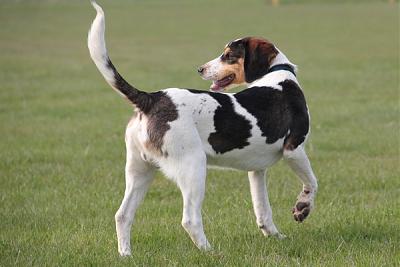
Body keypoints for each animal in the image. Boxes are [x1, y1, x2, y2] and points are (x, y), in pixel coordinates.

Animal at [88, 0, 318, 258]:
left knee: (123, 215)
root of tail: (152, 98)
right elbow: (312, 183)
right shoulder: (294, 149)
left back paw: (126, 254)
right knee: (190, 219)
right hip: (194, 168)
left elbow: (263, 211)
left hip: (140, 171)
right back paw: (211, 252)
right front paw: (302, 209)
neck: (277, 75)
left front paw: (276, 237)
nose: (200, 69)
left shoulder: (256, 170)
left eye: (228, 56)